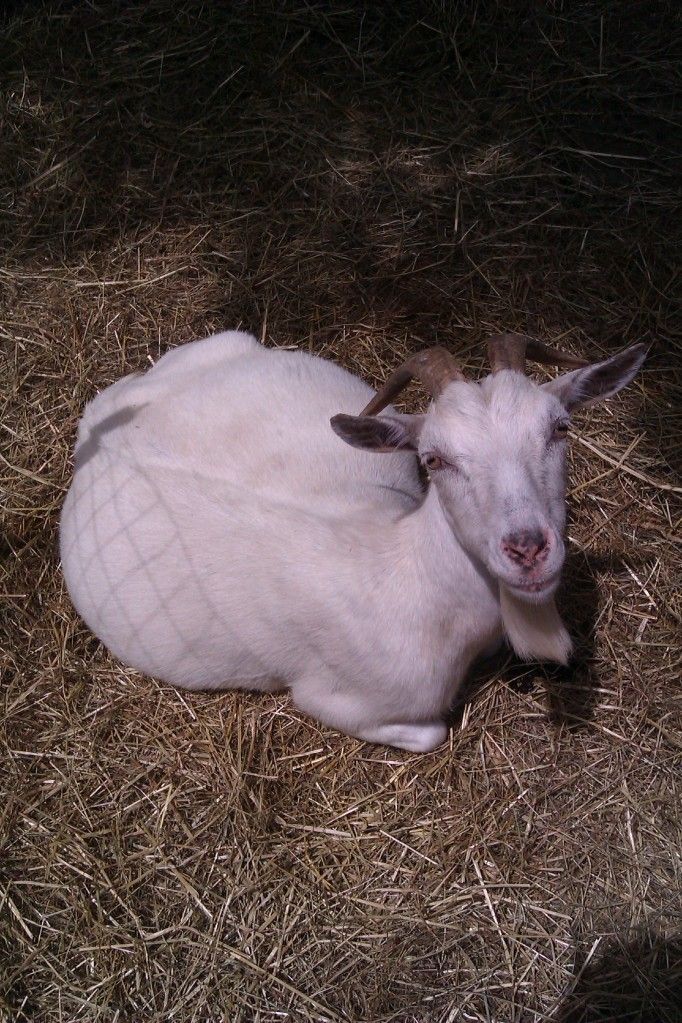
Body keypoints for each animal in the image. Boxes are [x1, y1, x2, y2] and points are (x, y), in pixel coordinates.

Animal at [59, 330, 646, 751]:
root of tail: (95, 423)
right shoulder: (332, 698)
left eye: (561, 428)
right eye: (434, 458)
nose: (527, 549)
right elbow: (432, 732)